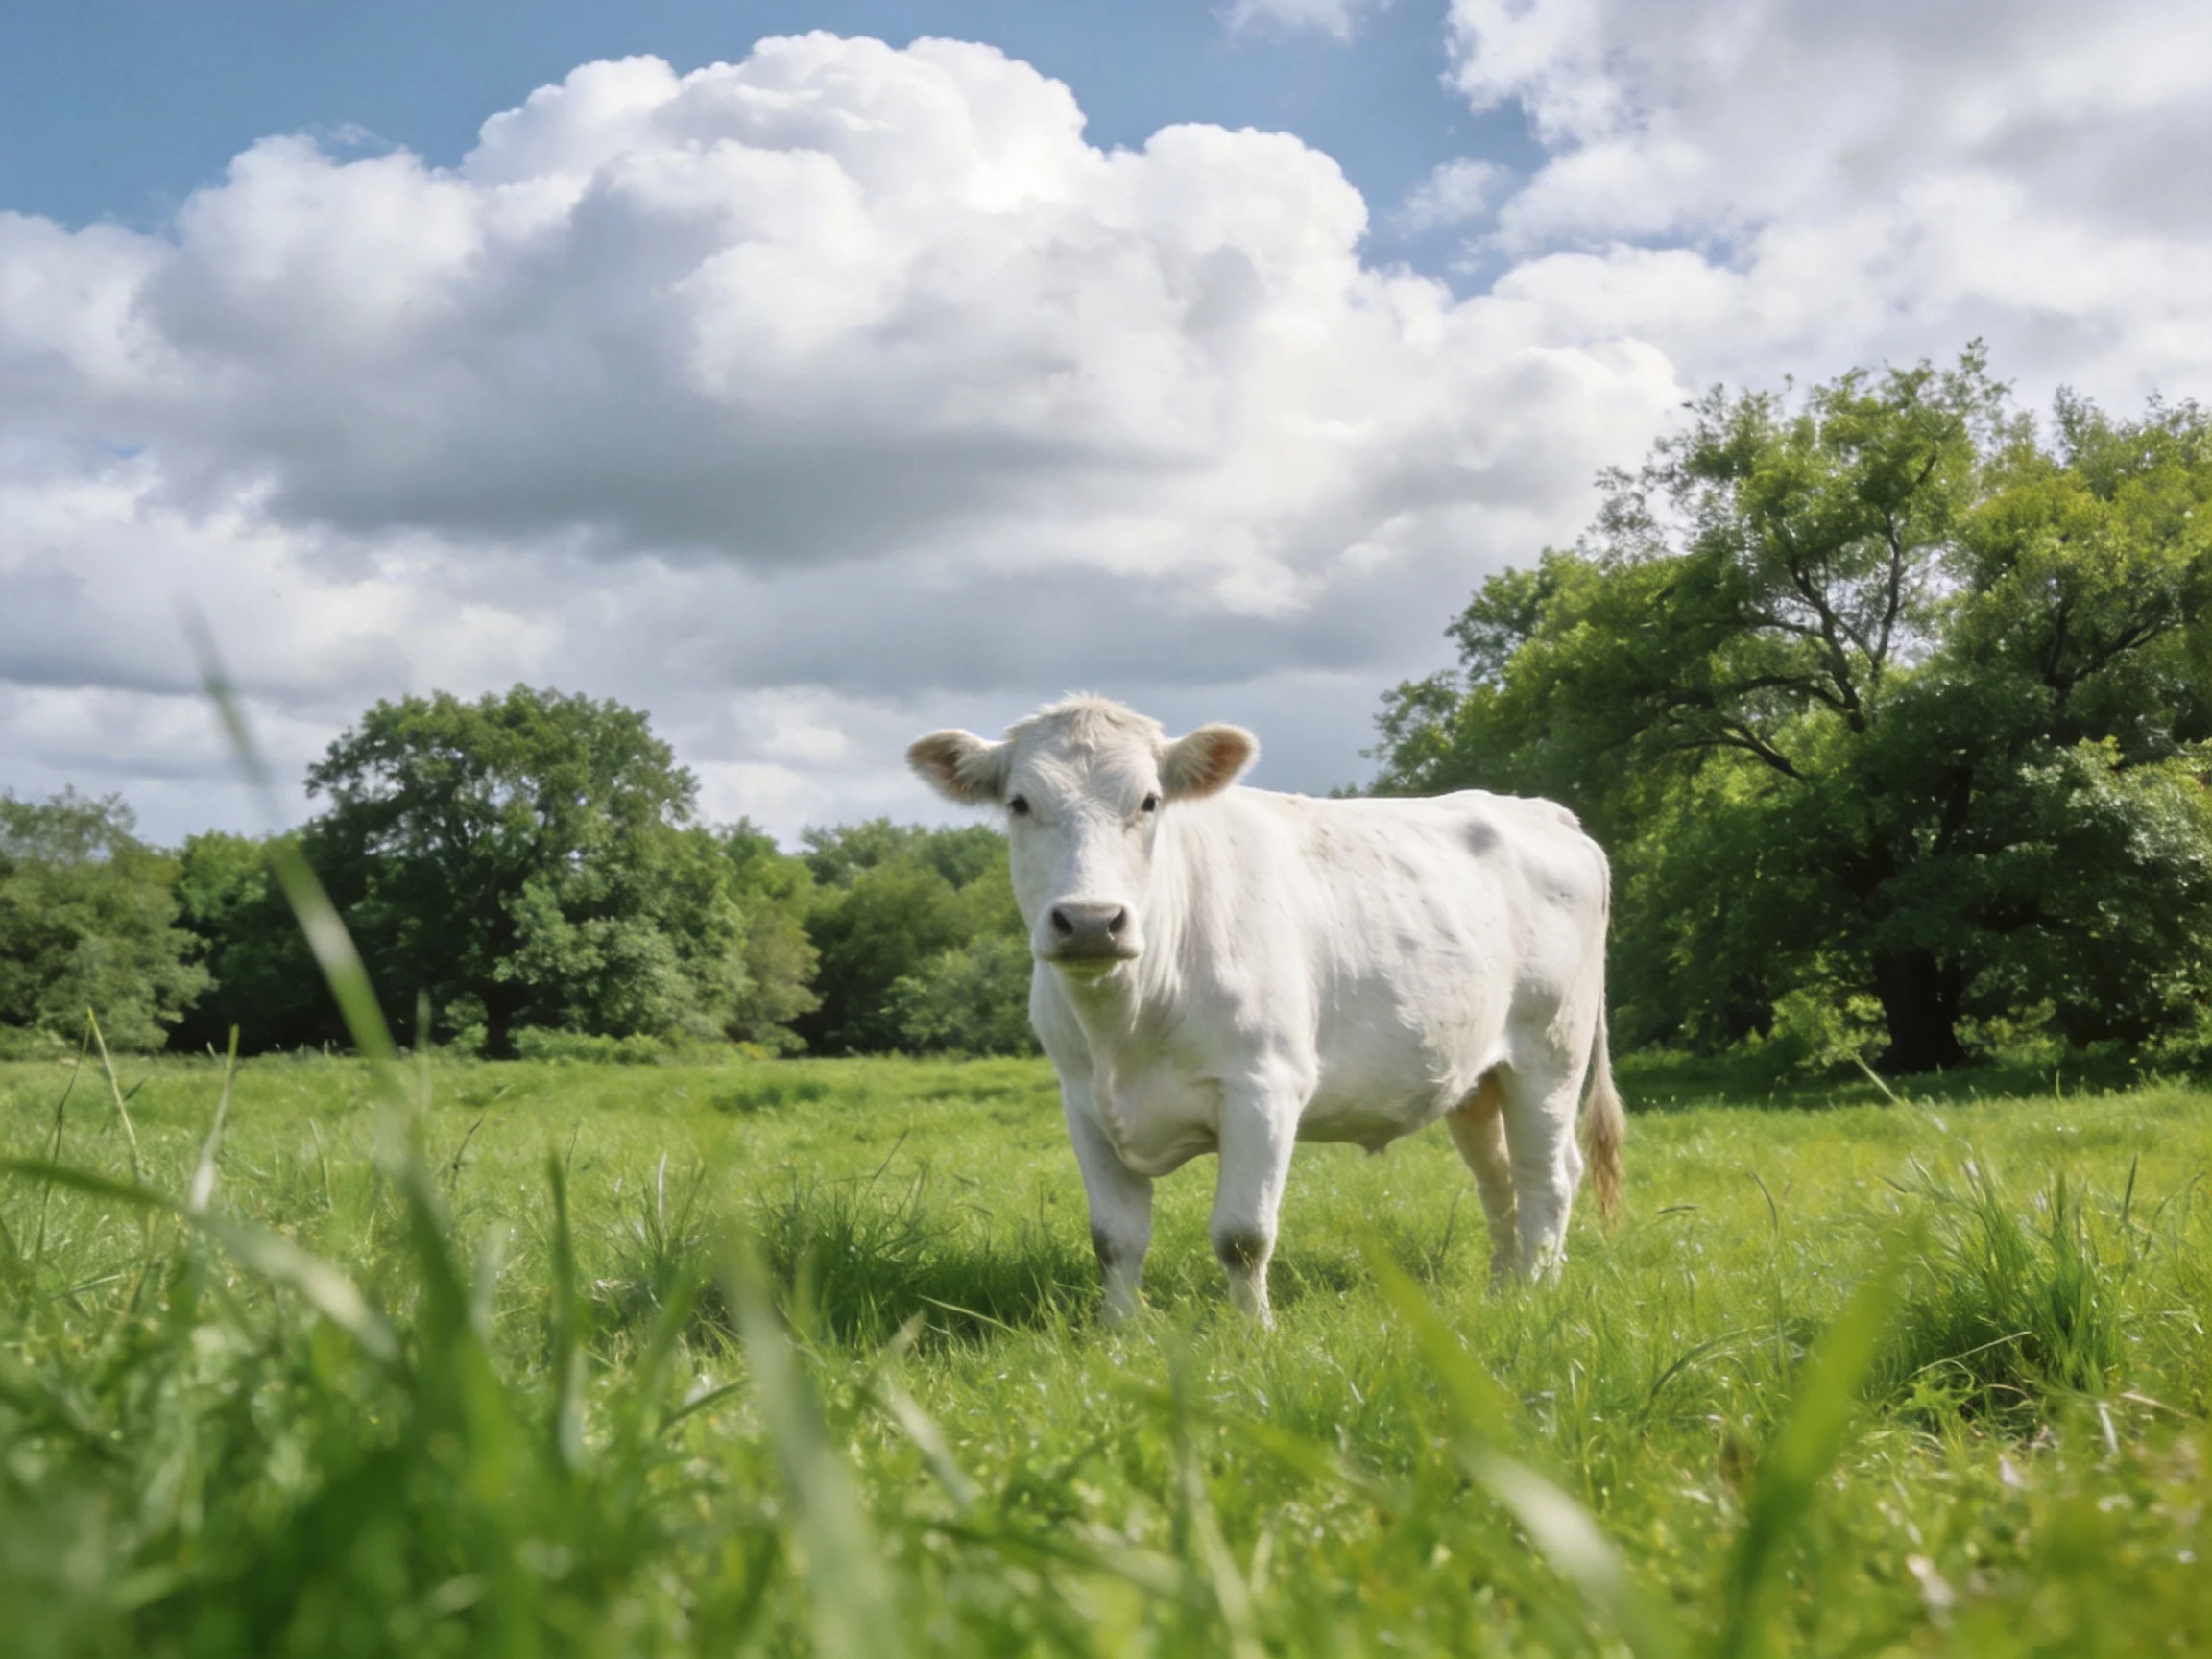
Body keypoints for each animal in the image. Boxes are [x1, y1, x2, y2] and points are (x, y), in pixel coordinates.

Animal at [907, 695, 1624, 1327]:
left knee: (1549, 1175)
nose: (1090, 921)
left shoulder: (1264, 1087)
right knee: (1500, 1180)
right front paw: (1119, 1332)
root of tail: (1541, 810)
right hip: (1477, 1075)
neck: (1125, 1028)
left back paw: (1538, 1292)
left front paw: (1253, 1333)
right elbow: (1114, 1237)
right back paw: (1504, 1289)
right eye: (1019, 803)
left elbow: (1242, 1234)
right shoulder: (1082, 1101)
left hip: (1550, 1054)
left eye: (1149, 801)